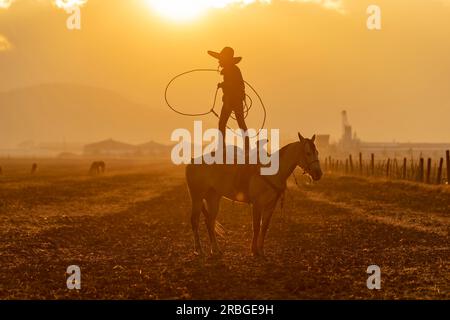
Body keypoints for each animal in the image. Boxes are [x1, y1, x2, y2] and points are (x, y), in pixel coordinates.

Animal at [186, 133, 324, 258]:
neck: (271, 172)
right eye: (308, 153)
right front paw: (254, 251)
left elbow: (264, 227)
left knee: (209, 221)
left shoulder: (270, 205)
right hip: (197, 197)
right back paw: (198, 250)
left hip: (213, 197)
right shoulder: (257, 204)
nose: (318, 174)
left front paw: (261, 251)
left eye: (317, 152)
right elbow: (256, 227)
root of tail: (191, 162)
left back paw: (215, 250)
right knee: (195, 220)